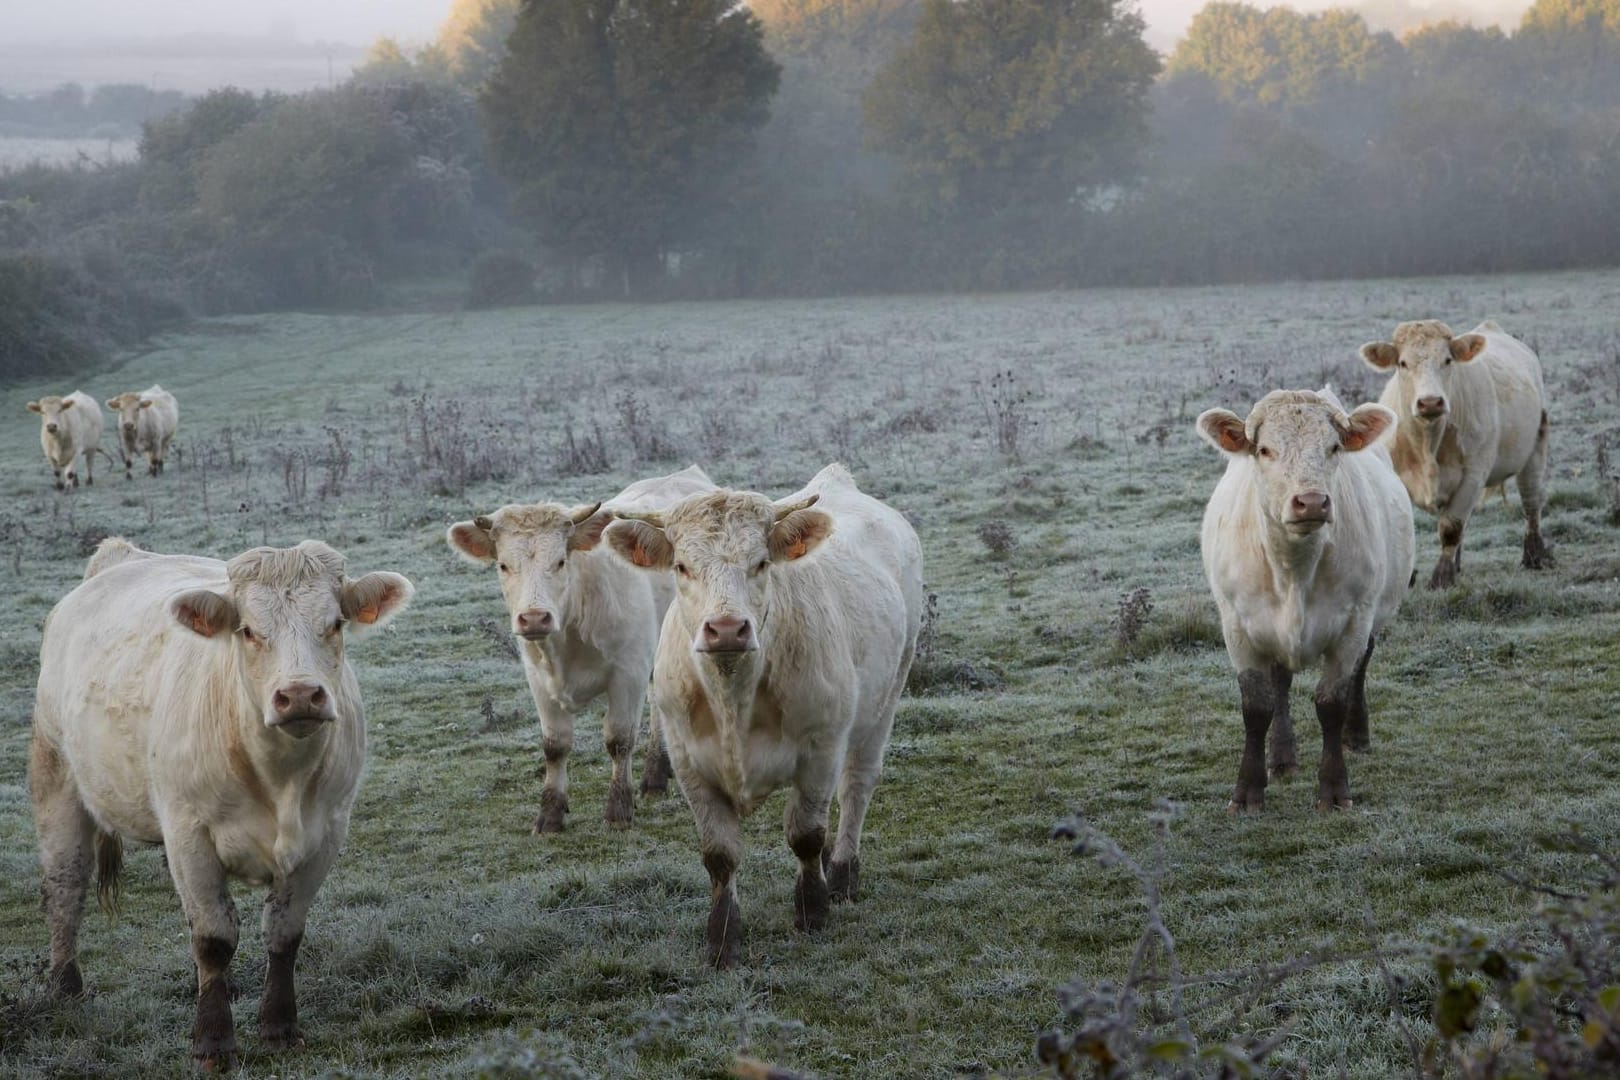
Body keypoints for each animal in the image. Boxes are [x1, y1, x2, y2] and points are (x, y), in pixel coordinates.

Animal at [32, 537, 414, 1062]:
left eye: (336, 623)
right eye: (248, 630)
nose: (300, 695)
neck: (279, 779)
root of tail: (120, 556)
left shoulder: (327, 832)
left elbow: (282, 931)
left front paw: (278, 1026)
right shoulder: (189, 832)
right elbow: (213, 937)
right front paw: (213, 1041)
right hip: (55, 774)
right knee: (66, 884)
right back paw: (64, 986)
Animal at [450, 466, 716, 835]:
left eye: (561, 561)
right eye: (503, 565)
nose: (534, 618)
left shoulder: (627, 673)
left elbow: (619, 740)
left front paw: (618, 809)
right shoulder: (538, 679)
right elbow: (555, 746)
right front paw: (550, 815)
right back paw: (655, 777)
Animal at [605, 466, 926, 971]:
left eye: (760, 563)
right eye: (682, 567)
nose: (726, 629)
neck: (733, 696)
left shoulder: (821, 746)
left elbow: (806, 834)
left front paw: (812, 910)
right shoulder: (688, 762)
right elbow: (719, 854)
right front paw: (722, 940)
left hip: (887, 696)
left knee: (856, 785)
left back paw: (842, 872)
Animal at [1198, 388, 1412, 809]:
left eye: (1334, 447)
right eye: (1264, 450)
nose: (1311, 502)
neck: (1293, 569)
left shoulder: (1354, 622)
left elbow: (1332, 703)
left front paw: (1334, 789)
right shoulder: (1238, 627)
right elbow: (1257, 706)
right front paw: (1247, 791)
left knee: (1362, 667)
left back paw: (1356, 735)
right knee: (1280, 682)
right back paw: (1282, 757)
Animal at [1360, 320, 1548, 592]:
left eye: (1448, 360)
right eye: (1403, 363)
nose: (1430, 402)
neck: (1427, 444)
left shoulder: (1473, 475)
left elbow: (1451, 527)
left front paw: (1443, 576)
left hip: (1535, 448)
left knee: (1532, 502)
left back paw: (1534, 555)